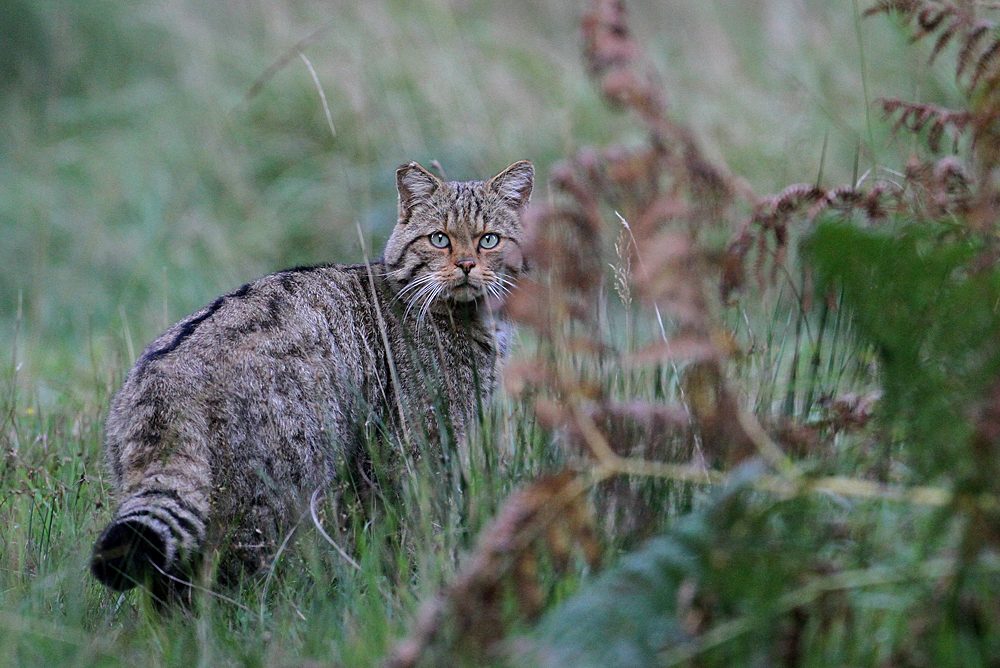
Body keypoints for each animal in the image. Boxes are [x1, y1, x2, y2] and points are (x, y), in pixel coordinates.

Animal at [90, 160, 536, 596]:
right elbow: (421, 520)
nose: (466, 265)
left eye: (489, 240)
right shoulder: (416, 445)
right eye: (440, 239)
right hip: (273, 488)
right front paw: (425, 573)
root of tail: (162, 381)